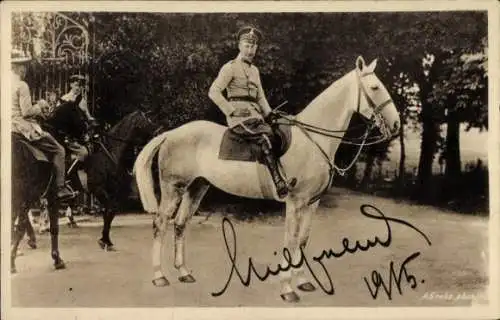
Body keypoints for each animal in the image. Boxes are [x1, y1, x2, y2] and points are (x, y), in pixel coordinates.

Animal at [11, 104, 160, 272]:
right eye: (146, 122)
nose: (158, 131)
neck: (107, 154)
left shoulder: (111, 192)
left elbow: (110, 212)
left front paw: (106, 240)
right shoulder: (98, 190)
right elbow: (108, 211)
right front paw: (103, 240)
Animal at [135, 55, 400, 302]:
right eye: (375, 87)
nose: (397, 124)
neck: (313, 140)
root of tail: (171, 134)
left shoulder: (312, 204)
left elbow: (303, 240)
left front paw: (303, 281)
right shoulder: (295, 202)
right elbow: (290, 241)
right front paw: (287, 289)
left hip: (197, 187)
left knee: (180, 224)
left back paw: (183, 272)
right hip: (173, 188)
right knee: (161, 223)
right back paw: (159, 276)